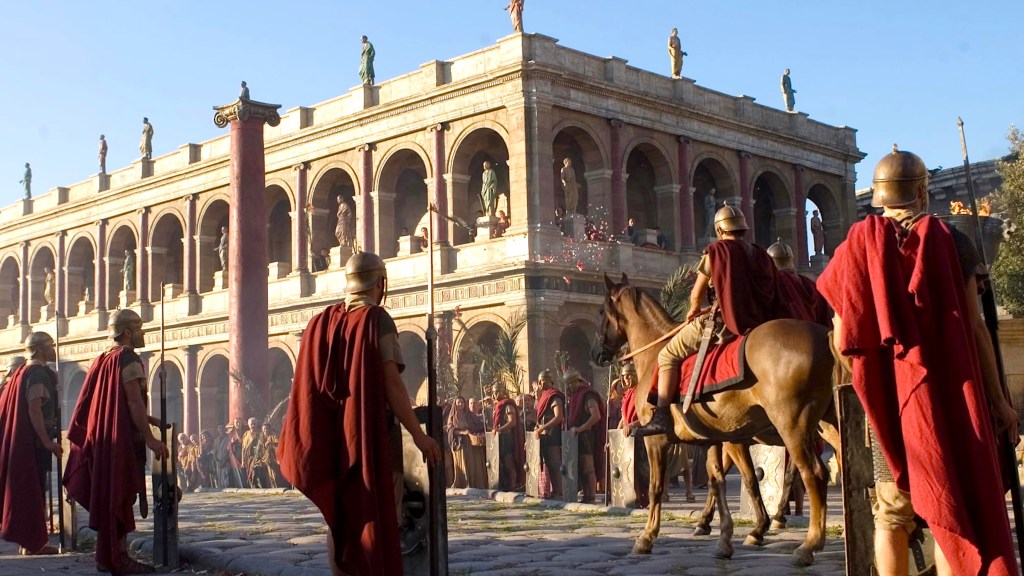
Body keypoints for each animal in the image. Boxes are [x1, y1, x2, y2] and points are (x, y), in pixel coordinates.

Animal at [598, 274, 835, 565]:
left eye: (602, 311)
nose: (598, 354)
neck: (655, 354)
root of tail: (823, 336)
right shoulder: (716, 439)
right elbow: (720, 481)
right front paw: (726, 537)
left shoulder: (657, 440)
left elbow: (656, 487)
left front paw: (646, 537)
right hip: (827, 423)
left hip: (792, 426)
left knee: (813, 473)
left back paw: (808, 544)